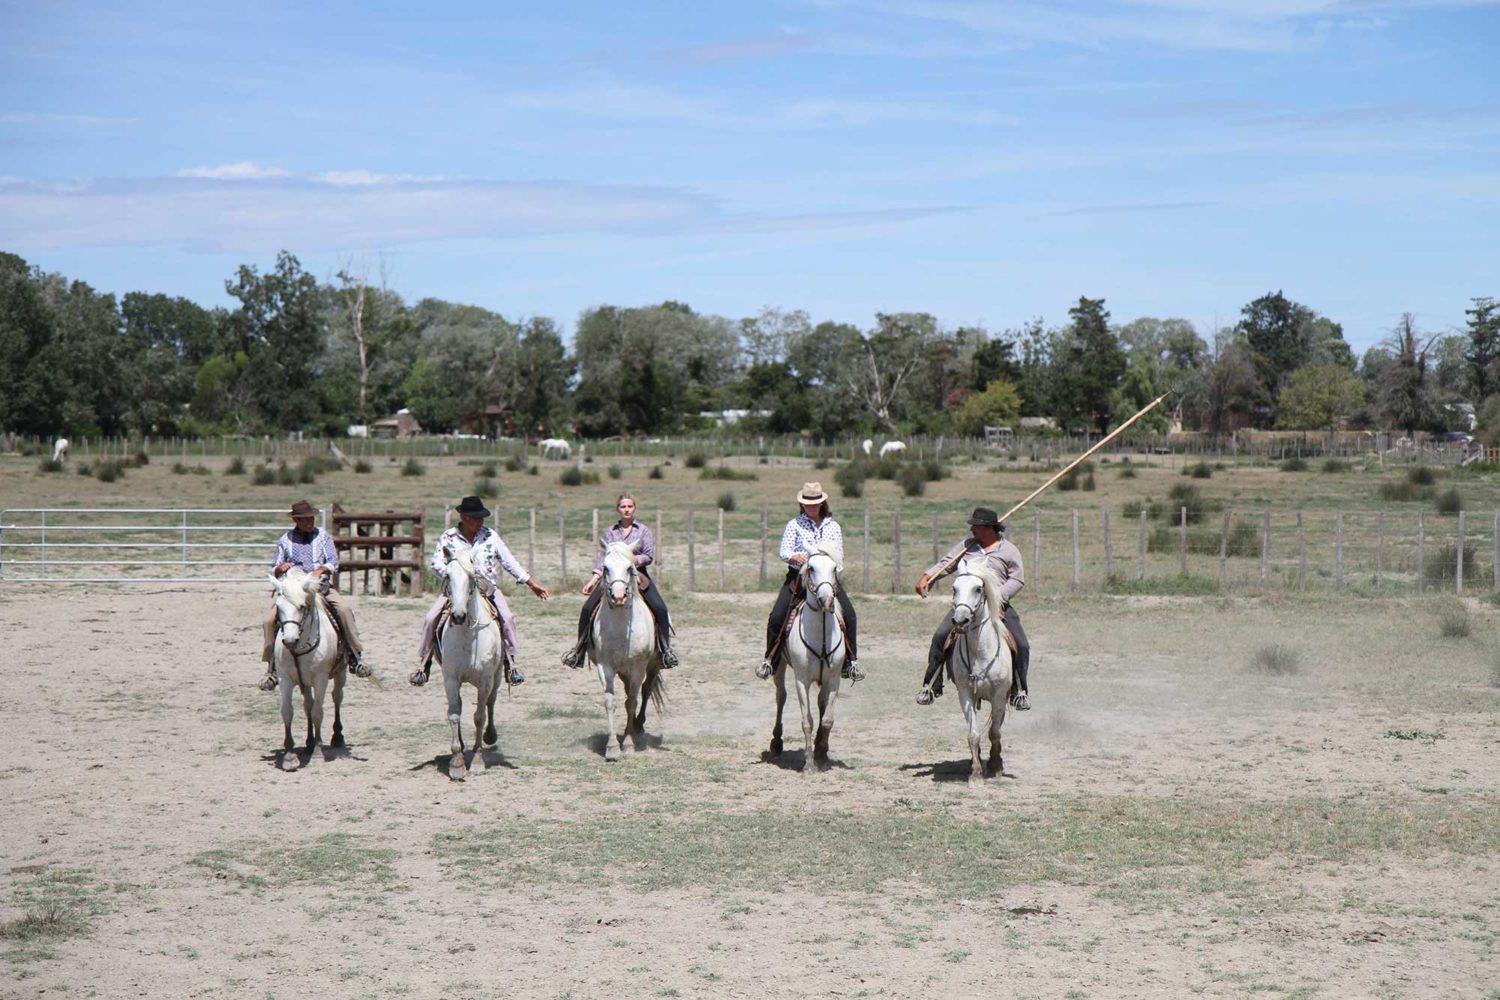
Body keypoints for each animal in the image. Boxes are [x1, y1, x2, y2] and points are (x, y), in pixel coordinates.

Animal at [267, 569, 345, 773]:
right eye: (279, 607)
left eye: (302, 606)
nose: (289, 640)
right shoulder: (285, 679)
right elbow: (287, 711)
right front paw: (289, 756)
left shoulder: (320, 679)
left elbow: (318, 712)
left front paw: (317, 754)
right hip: (305, 682)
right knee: (307, 704)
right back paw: (309, 742)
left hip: (340, 673)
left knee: (337, 698)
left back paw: (337, 737)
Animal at [435, 548, 504, 779]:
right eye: (447, 576)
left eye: (471, 577)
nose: (457, 616)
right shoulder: (450, 679)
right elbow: (454, 714)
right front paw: (457, 763)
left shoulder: (485, 680)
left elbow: (479, 716)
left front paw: (477, 760)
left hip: (497, 677)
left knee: (491, 702)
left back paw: (490, 735)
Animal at [585, 542, 663, 761]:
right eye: (605, 568)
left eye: (630, 568)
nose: (618, 597)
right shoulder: (605, 666)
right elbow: (610, 701)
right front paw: (612, 748)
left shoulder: (638, 667)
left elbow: (632, 702)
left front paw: (627, 743)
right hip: (623, 671)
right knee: (630, 691)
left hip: (652, 666)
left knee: (645, 691)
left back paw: (639, 726)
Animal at [768, 548, 852, 773]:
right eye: (811, 568)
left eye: (834, 568)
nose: (827, 600)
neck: (821, 636)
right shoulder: (802, 680)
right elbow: (807, 721)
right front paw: (808, 763)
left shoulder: (833, 680)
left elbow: (827, 719)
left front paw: (821, 754)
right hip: (779, 667)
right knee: (781, 697)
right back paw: (776, 742)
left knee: (821, 705)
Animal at [942, 563, 1014, 779]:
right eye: (954, 588)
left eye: (978, 588)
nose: (960, 620)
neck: (979, 652)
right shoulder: (965, 694)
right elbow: (973, 733)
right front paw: (975, 771)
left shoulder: (999, 696)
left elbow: (994, 732)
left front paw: (996, 765)